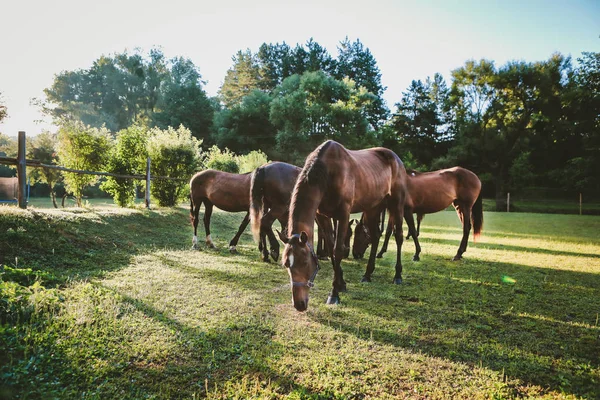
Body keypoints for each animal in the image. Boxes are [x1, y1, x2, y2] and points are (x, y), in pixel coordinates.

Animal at [276, 141, 412, 312]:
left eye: (305, 262)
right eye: (286, 264)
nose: (299, 304)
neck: (327, 173)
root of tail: (396, 159)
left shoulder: (343, 214)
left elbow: (338, 250)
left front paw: (334, 294)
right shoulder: (323, 216)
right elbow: (330, 249)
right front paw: (341, 284)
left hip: (396, 204)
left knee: (399, 236)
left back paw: (397, 276)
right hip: (373, 207)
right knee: (375, 237)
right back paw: (367, 274)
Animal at [352, 166, 482, 262]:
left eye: (359, 234)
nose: (355, 254)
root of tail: (475, 177)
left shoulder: (407, 211)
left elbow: (413, 232)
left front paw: (417, 254)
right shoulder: (394, 211)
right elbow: (389, 231)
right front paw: (381, 252)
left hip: (466, 207)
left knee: (466, 228)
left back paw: (458, 254)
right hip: (458, 206)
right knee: (467, 227)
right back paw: (460, 253)